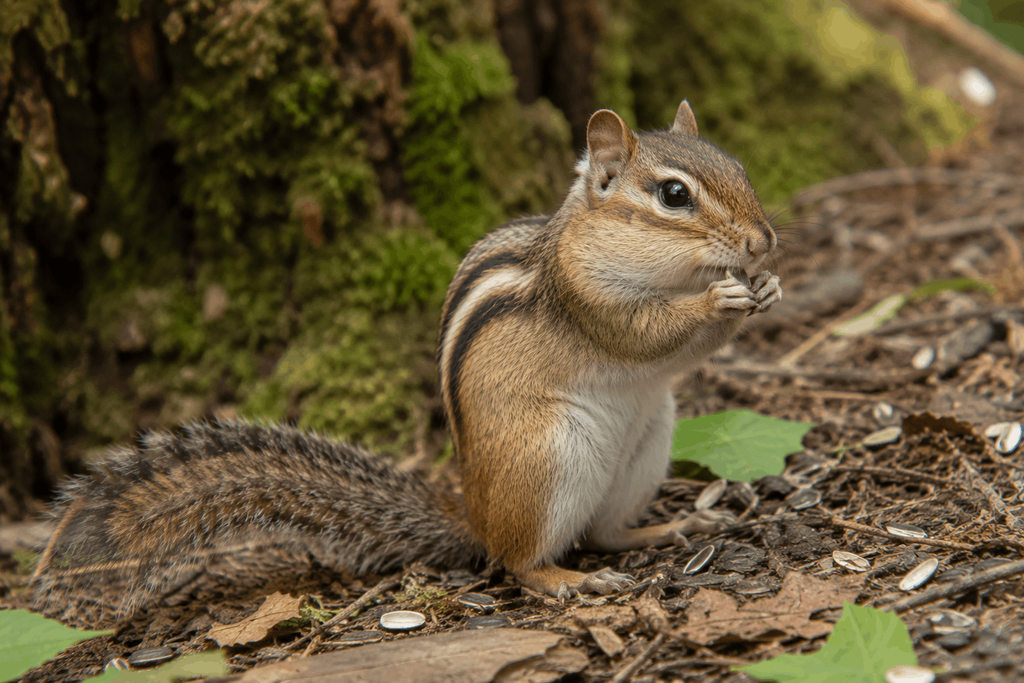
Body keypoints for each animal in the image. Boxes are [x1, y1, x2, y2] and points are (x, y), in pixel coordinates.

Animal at [31, 100, 781, 615]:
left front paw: (767, 286)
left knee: (604, 529)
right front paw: (718, 299)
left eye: (741, 168)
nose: (763, 241)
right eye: (674, 194)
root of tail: (473, 510)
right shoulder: (586, 298)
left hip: (646, 446)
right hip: (547, 461)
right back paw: (569, 579)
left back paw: (672, 525)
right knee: (519, 559)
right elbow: (644, 334)